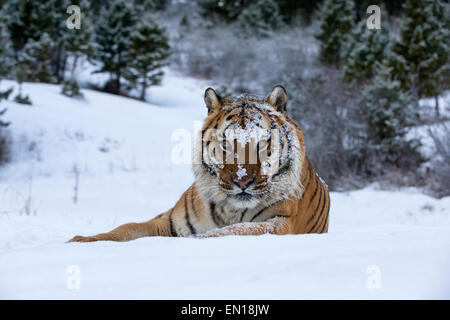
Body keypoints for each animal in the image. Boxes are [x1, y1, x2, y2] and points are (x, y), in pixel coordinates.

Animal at [68, 85, 330, 242]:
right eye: (225, 143)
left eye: (262, 143)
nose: (242, 181)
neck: (230, 209)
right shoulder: (170, 221)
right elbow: (127, 227)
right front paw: (80, 241)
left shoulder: (279, 223)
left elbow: (230, 231)